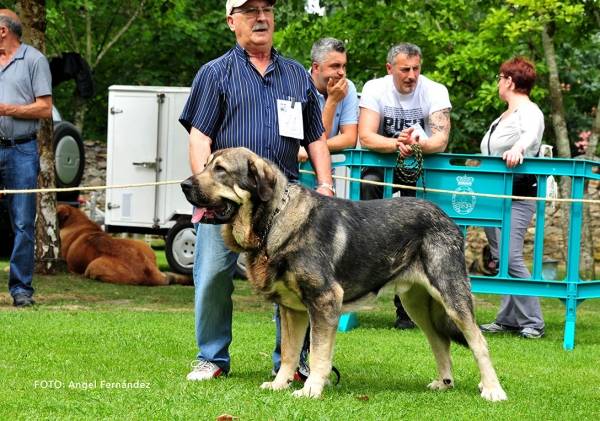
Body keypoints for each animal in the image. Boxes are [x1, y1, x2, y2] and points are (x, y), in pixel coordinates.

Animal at [179, 148, 506, 400]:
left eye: (220, 170)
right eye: (206, 164)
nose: (184, 184)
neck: (274, 219)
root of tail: (446, 218)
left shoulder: (324, 301)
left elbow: (318, 354)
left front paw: (310, 390)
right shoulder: (292, 310)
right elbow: (289, 353)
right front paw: (279, 385)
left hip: (452, 295)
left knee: (478, 342)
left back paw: (492, 389)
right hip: (416, 304)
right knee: (439, 340)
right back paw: (444, 383)